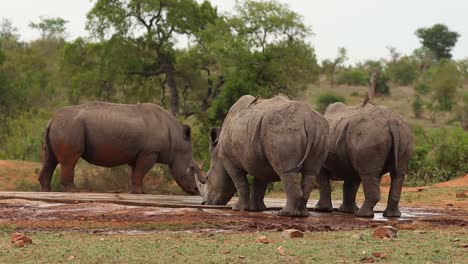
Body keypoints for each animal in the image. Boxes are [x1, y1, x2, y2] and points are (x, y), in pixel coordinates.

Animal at [37, 101, 204, 194]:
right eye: (192, 168)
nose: (196, 191)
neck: (176, 140)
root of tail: (51, 119)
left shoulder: (139, 153)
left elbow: (136, 173)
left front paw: (138, 191)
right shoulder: (150, 152)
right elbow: (140, 172)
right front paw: (140, 193)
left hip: (61, 127)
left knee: (50, 159)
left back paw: (46, 192)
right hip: (70, 127)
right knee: (69, 161)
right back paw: (74, 191)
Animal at [198, 95, 330, 217]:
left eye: (207, 178)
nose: (204, 203)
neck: (218, 154)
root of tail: (309, 120)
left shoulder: (229, 161)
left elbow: (240, 184)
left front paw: (238, 208)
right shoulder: (259, 160)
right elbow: (260, 184)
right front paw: (257, 209)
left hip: (282, 130)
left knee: (286, 172)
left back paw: (286, 214)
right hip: (320, 130)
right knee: (311, 172)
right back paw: (303, 214)